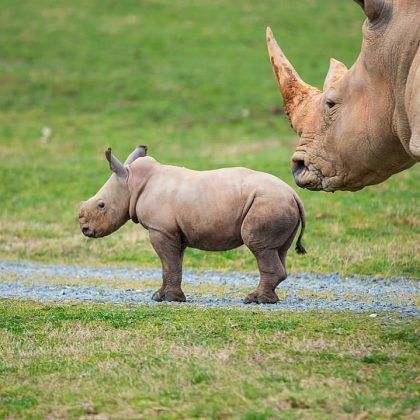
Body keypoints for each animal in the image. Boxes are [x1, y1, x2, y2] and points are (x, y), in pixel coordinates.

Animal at [78, 146, 306, 304]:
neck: (132, 183)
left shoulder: (160, 229)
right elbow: (172, 264)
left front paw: (168, 299)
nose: (85, 229)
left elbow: (168, 263)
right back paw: (269, 299)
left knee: (258, 246)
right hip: (278, 203)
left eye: (101, 205)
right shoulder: (174, 232)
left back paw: (253, 300)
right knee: (278, 250)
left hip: (268, 203)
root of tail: (294, 194)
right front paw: (162, 297)